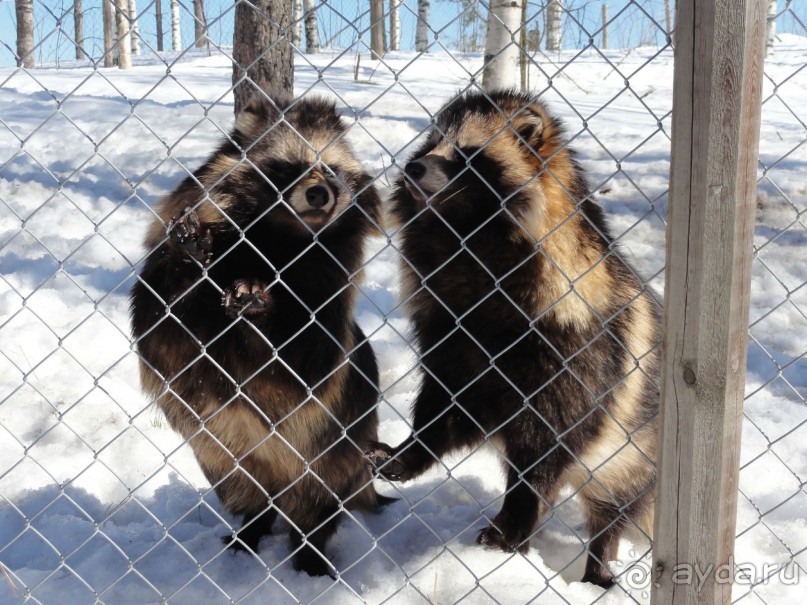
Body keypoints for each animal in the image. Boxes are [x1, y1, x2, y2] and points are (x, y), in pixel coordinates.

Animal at [129, 95, 388, 576]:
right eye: (288, 166)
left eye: (332, 170)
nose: (320, 193)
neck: (281, 237)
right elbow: (164, 323)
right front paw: (190, 260)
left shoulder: (327, 294)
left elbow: (305, 357)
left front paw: (260, 308)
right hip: (221, 452)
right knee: (244, 489)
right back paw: (250, 528)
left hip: (334, 447)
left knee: (316, 498)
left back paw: (310, 552)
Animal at [370, 89, 660, 584]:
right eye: (431, 143)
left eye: (467, 153)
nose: (413, 168)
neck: (466, 237)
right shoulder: (451, 333)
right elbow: (446, 403)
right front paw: (413, 451)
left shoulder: (573, 345)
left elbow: (552, 440)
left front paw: (518, 517)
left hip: (633, 450)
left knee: (613, 506)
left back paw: (598, 565)